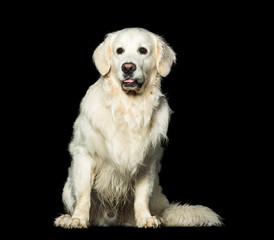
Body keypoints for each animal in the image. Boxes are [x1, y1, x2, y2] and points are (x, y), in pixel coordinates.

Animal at [54, 27, 223, 228]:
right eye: (119, 50)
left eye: (143, 50)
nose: (128, 67)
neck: (129, 107)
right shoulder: (84, 154)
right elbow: (83, 194)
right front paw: (78, 219)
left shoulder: (147, 160)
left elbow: (141, 197)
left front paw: (145, 218)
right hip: (67, 186)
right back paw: (66, 217)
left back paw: (157, 217)